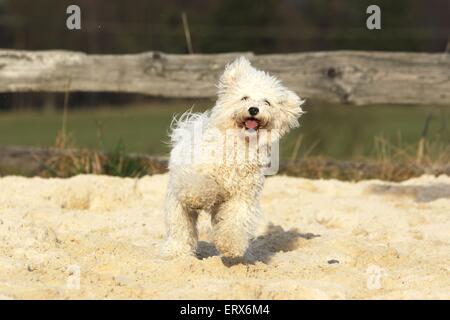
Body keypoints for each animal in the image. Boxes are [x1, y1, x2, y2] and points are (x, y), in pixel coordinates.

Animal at [160, 55, 304, 260]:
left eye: (267, 102)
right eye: (244, 98)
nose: (253, 109)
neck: (238, 144)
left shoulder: (242, 196)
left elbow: (236, 222)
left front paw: (232, 246)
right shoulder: (196, 176)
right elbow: (201, 187)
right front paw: (201, 197)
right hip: (176, 204)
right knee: (180, 229)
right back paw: (175, 252)